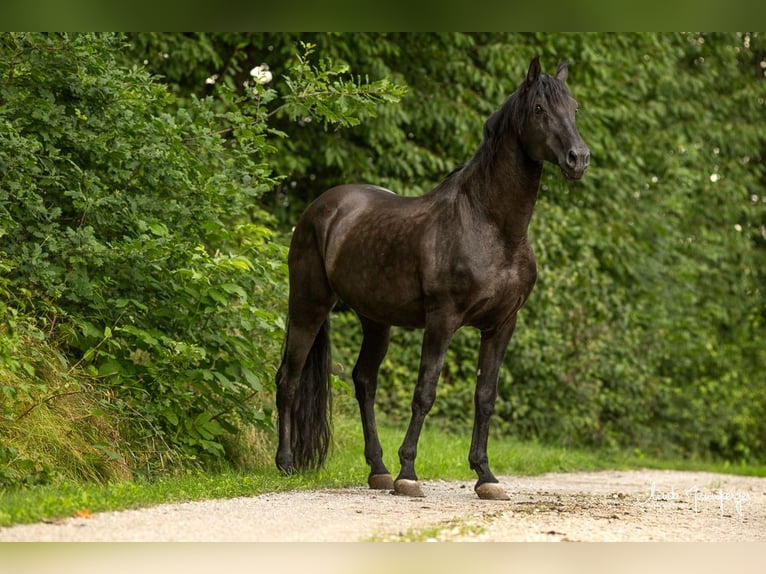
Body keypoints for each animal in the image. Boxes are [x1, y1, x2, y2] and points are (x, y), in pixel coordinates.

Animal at [274, 56, 590, 500]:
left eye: (574, 107)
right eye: (540, 109)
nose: (578, 158)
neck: (491, 225)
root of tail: (322, 208)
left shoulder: (501, 325)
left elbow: (485, 396)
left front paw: (485, 476)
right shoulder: (443, 320)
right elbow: (424, 393)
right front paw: (409, 473)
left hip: (376, 320)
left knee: (363, 381)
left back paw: (378, 469)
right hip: (308, 305)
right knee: (289, 377)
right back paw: (286, 462)